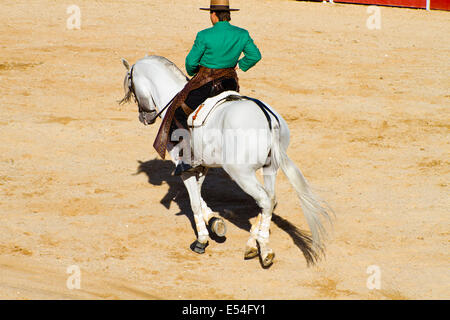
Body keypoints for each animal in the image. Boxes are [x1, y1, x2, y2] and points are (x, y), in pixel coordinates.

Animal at [121, 55, 332, 268]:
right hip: (270, 168)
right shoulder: (202, 166)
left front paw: (202, 239)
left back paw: (264, 250)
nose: (144, 117)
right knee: (271, 199)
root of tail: (268, 120)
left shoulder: (184, 167)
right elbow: (199, 195)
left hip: (241, 173)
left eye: (131, 85)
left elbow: (194, 201)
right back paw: (254, 245)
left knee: (264, 199)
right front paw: (215, 222)